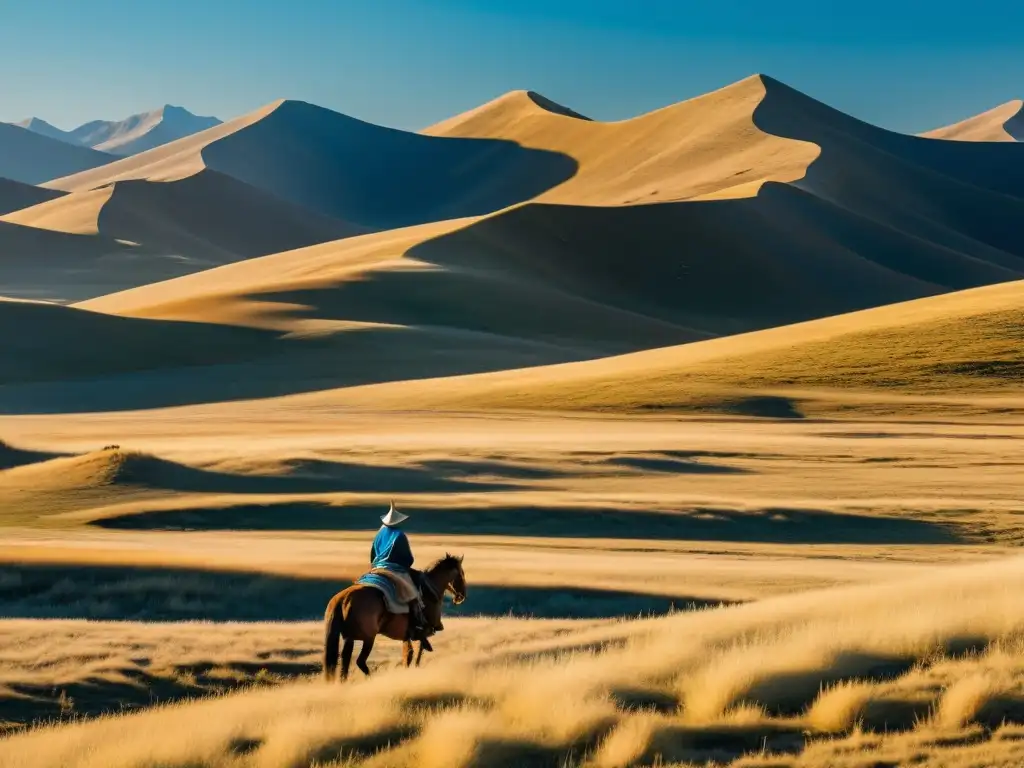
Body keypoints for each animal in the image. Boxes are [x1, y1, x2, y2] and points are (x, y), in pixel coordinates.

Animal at [321, 552, 466, 684]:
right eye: (461, 574)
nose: (461, 596)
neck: (430, 589)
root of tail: (343, 598)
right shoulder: (422, 632)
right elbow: (418, 653)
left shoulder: (407, 636)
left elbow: (408, 655)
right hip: (368, 638)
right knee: (359, 661)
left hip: (349, 638)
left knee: (345, 660)